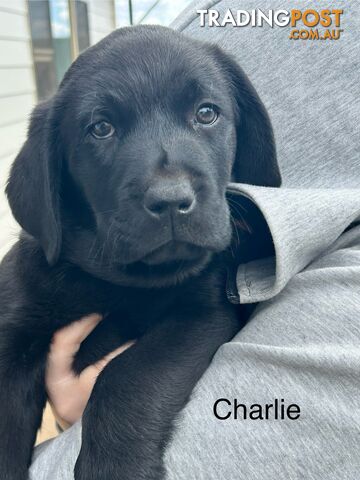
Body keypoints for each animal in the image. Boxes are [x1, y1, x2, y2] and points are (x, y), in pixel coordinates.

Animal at [0, 26, 280, 480]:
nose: (170, 200)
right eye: (100, 128)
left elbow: (126, 373)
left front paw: (113, 468)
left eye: (206, 113)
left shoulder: (200, 314)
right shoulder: (12, 334)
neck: (116, 281)